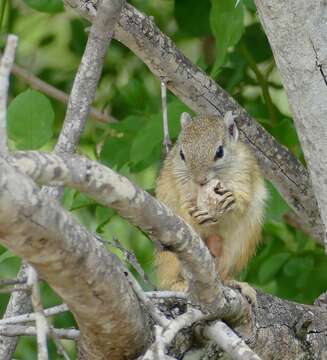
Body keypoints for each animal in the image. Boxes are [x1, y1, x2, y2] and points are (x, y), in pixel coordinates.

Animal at [157, 111, 270, 292]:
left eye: (220, 152)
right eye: (181, 154)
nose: (199, 180)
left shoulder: (244, 172)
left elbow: (243, 200)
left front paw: (232, 200)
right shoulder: (179, 182)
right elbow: (184, 207)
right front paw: (194, 214)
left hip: (239, 244)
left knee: (222, 272)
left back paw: (233, 282)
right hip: (170, 255)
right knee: (169, 278)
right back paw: (178, 284)